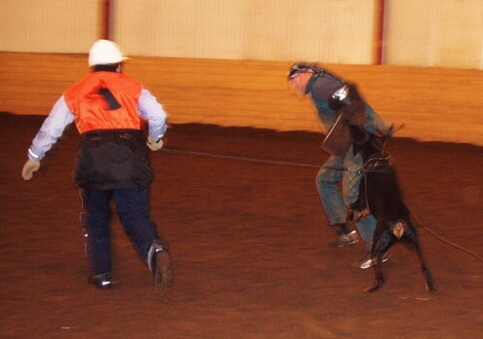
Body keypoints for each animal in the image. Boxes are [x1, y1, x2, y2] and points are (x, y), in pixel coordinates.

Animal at [350, 134, 436, 294]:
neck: (376, 159)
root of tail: (399, 223)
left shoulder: (362, 198)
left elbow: (353, 207)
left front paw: (353, 215)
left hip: (377, 245)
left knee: (379, 275)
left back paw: (369, 288)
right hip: (414, 244)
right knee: (424, 267)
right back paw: (430, 286)